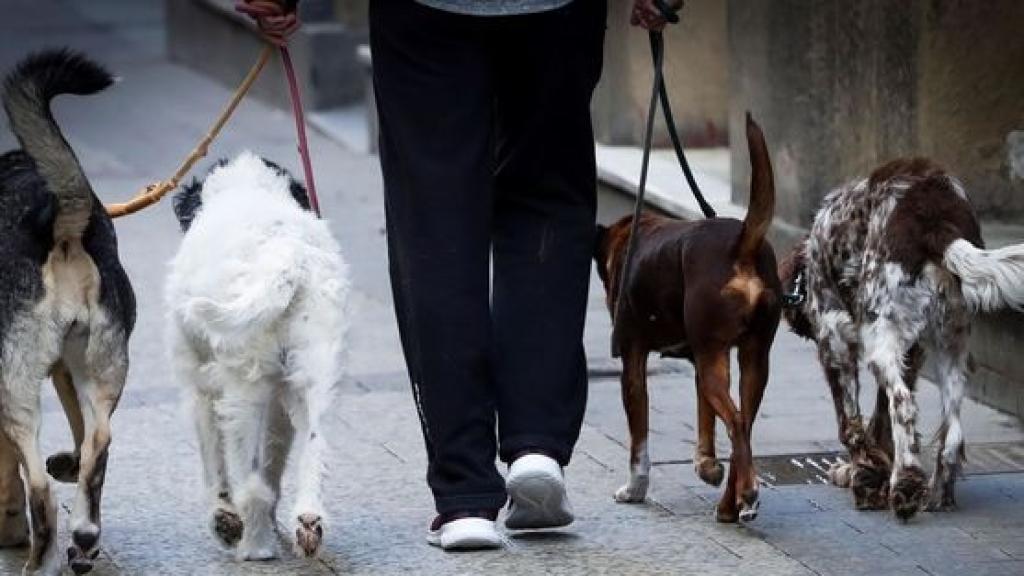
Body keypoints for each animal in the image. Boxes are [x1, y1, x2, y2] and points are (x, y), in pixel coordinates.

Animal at [163, 151, 348, 557]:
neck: (249, 185)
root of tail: (286, 257)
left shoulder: (202, 389)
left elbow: (215, 463)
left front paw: (224, 518)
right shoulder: (279, 396)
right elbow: (275, 459)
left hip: (241, 388)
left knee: (249, 485)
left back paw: (254, 545)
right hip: (313, 373)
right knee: (315, 446)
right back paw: (307, 521)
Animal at [593, 114, 774, 522]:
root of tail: (741, 243)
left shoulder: (633, 359)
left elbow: (639, 441)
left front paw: (635, 489)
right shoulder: (695, 360)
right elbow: (705, 422)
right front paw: (706, 466)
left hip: (715, 357)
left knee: (737, 421)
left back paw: (747, 494)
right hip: (751, 358)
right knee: (744, 425)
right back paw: (731, 504)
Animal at [778, 157, 1024, 520]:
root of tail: (935, 218)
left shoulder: (835, 341)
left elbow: (852, 425)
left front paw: (864, 479)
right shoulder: (912, 351)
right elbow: (880, 423)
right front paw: (873, 473)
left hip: (882, 340)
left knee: (904, 405)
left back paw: (905, 485)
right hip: (950, 344)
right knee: (952, 433)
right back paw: (936, 496)